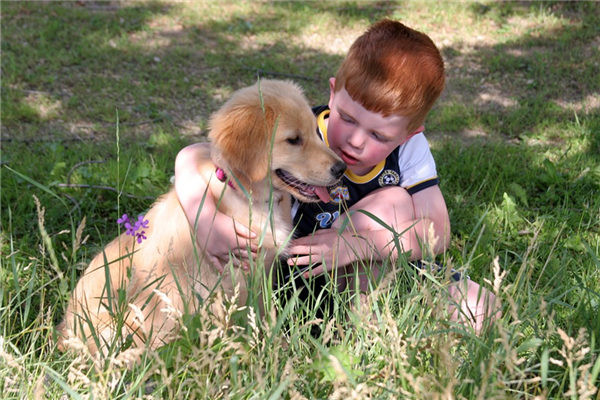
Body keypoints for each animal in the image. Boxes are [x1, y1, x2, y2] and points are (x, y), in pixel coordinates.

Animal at [56, 79, 346, 354]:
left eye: (315, 132)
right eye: (293, 140)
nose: (341, 168)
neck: (248, 197)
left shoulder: (260, 276)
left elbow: (265, 316)